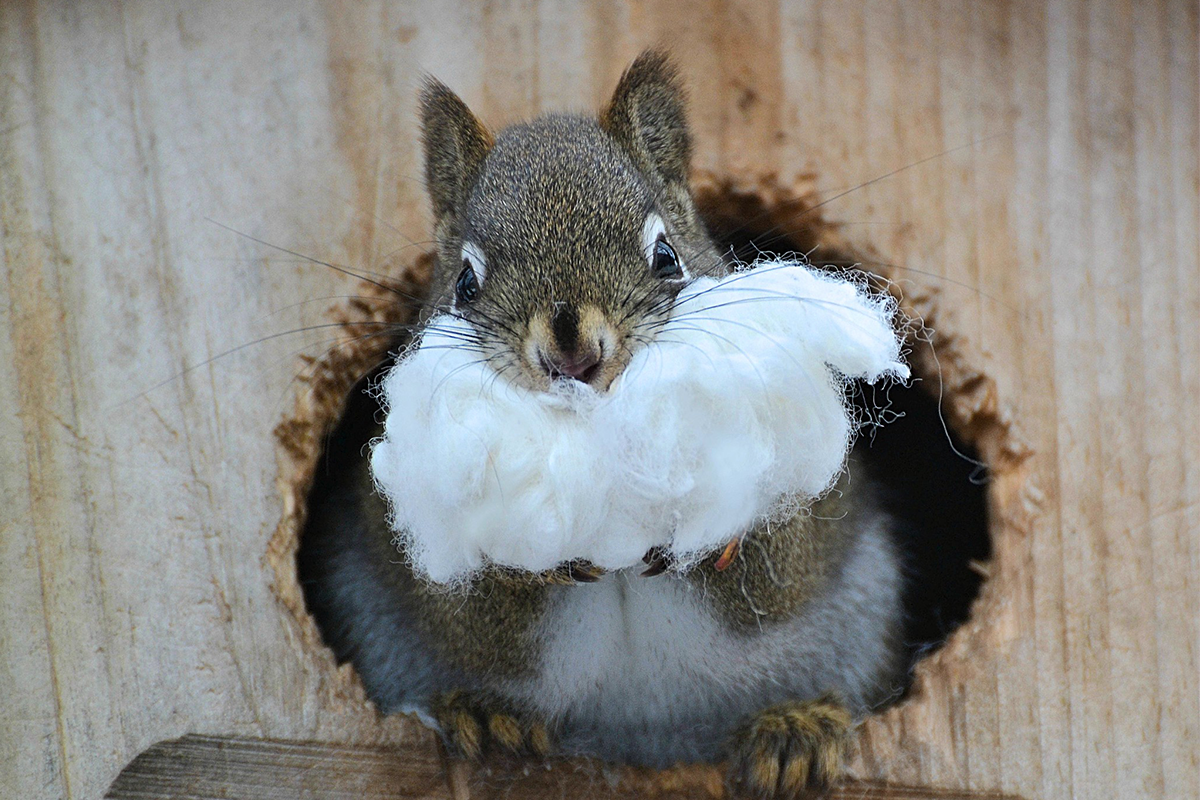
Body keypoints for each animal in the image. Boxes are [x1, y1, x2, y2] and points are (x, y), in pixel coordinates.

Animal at [302, 51, 907, 800]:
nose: (572, 351)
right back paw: (486, 718)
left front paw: (703, 531)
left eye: (666, 256)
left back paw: (796, 728)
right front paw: (537, 561)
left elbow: (776, 564)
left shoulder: (817, 518)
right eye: (465, 284)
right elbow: (464, 608)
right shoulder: (394, 531)